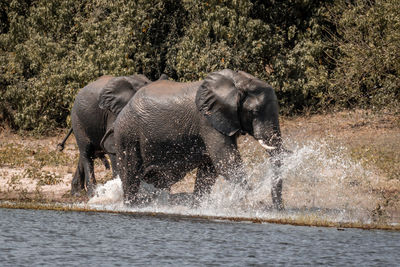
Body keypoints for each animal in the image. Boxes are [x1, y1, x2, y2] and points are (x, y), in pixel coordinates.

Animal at [101, 69, 286, 209]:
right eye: (254, 112)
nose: (279, 209)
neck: (238, 81)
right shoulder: (207, 121)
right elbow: (226, 161)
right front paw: (250, 202)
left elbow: (209, 169)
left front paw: (197, 207)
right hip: (127, 135)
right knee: (130, 175)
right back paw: (132, 207)